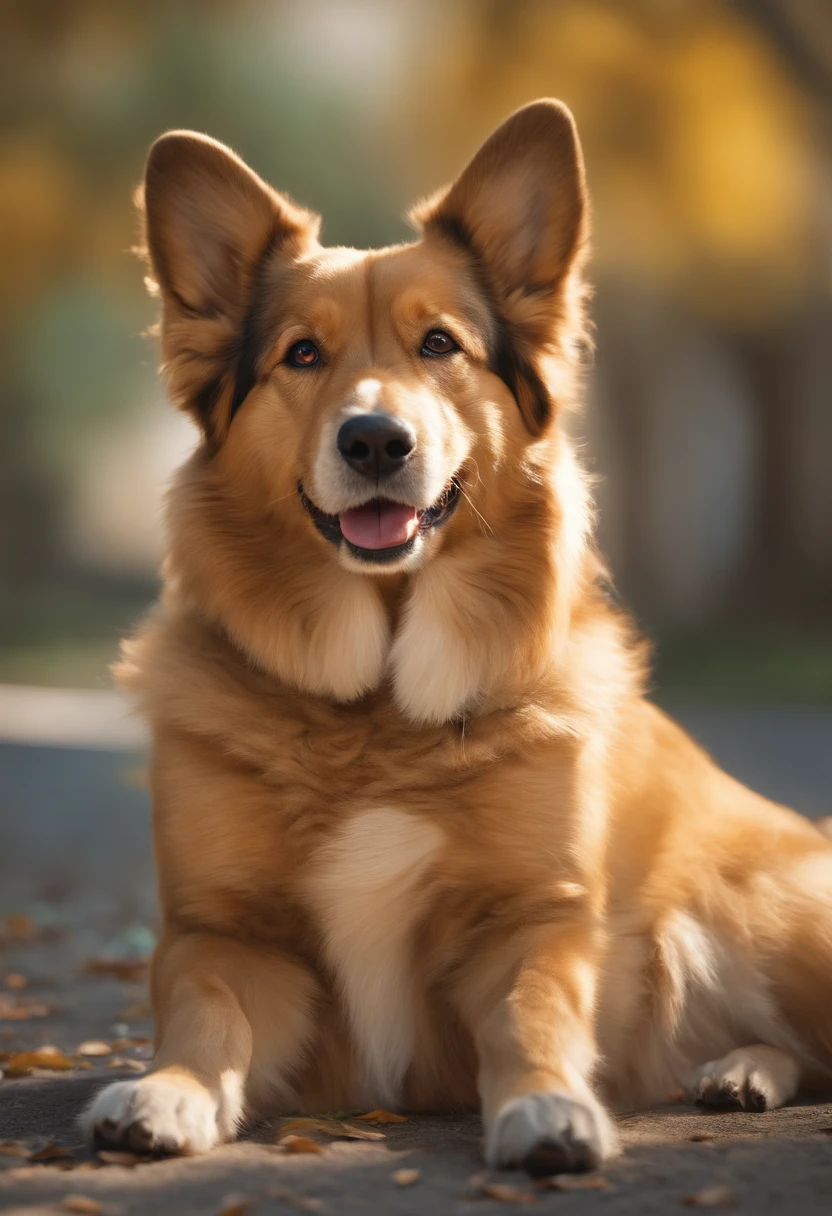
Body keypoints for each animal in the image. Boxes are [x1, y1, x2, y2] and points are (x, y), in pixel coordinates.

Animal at [82, 102, 832, 1167]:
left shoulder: (533, 922)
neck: (379, 714)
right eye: (301, 355)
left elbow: (532, 1014)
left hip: (768, 916)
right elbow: (203, 1016)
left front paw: (549, 1107)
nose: (373, 442)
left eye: (440, 344)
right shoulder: (224, 935)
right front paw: (167, 1093)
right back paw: (738, 1070)